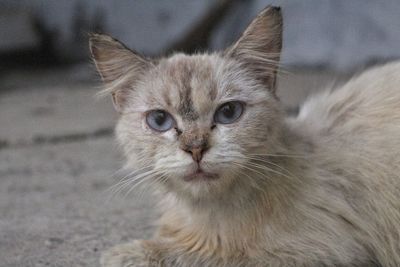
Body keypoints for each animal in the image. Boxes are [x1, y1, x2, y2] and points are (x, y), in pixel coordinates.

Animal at [90, 6, 400, 267]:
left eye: (228, 112)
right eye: (159, 120)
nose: (196, 149)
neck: (204, 214)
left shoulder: (323, 251)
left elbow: (206, 256)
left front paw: (128, 253)